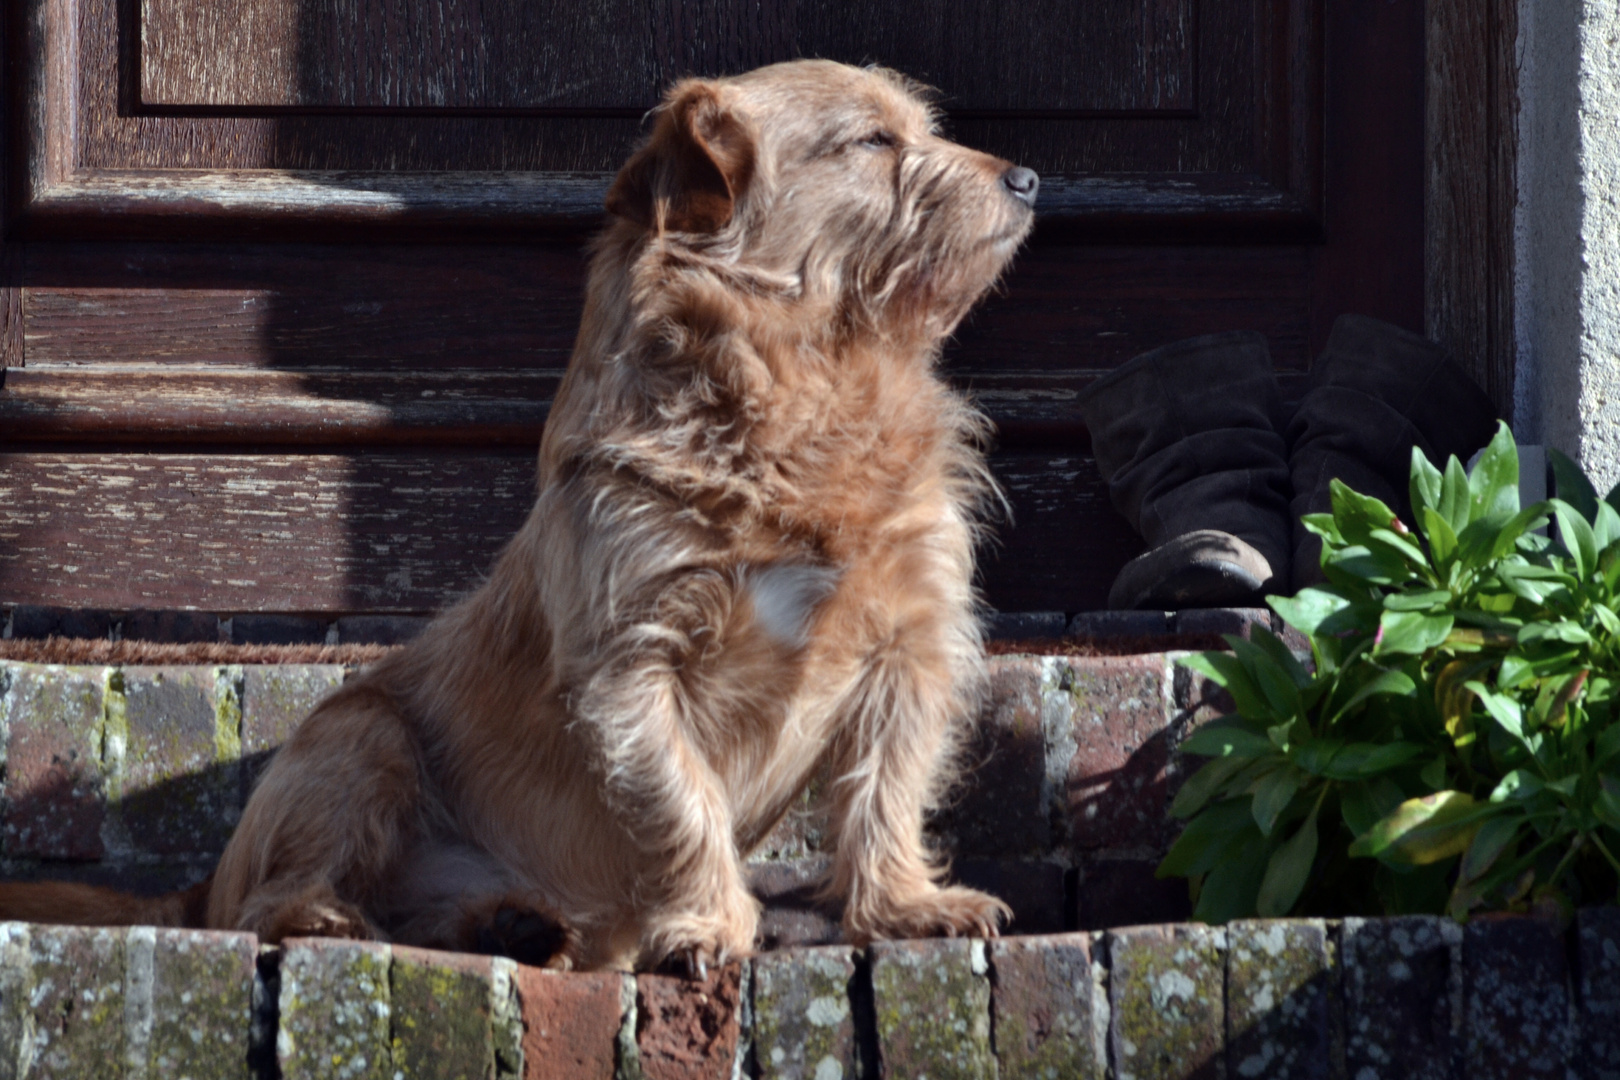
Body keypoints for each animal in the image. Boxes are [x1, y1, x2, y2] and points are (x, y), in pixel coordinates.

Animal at [0, 59, 1036, 971]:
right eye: (873, 141)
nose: (1027, 178)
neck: (805, 393)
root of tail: (199, 883)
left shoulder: (908, 643)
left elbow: (887, 789)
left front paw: (904, 906)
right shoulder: (633, 662)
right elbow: (684, 801)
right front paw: (708, 922)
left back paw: (513, 926)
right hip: (357, 737)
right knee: (266, 903)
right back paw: (337, 916)